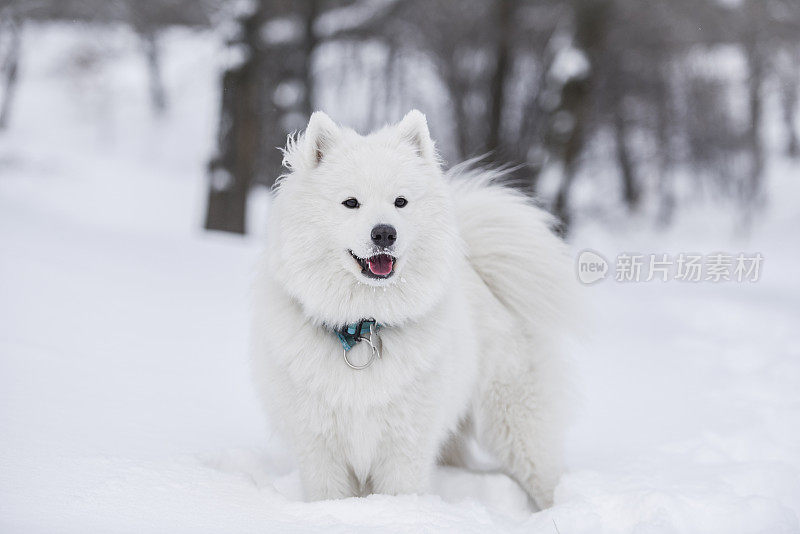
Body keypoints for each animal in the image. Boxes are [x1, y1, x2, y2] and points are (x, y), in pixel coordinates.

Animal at [253, 110, 572, 510]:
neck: (363, 327)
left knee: (545, 474)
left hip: (516, 421)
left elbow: (401, 494)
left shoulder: (405, 445)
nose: (384, 233)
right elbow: (328, 496)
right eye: (351, 203)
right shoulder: (319, 447)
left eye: (400, 202)